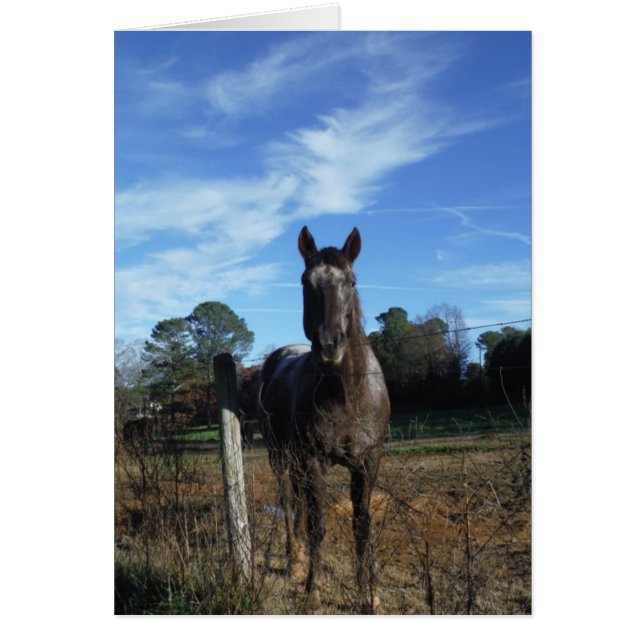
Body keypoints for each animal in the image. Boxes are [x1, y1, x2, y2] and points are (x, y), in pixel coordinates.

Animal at [258, 226, 390, 613]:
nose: (330, 343)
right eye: (306, 281)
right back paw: (294, 561)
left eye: (351, 280)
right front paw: (313, 589)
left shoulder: (368, 461)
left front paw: (368, 591)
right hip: (280, 457)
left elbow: (362, 523)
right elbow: (318, 525)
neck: (347, 394)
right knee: (290, 503)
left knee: (300, 502)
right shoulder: (315, 460)